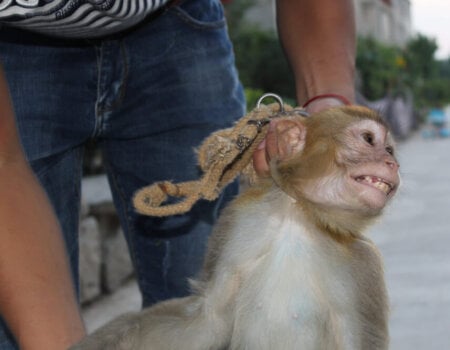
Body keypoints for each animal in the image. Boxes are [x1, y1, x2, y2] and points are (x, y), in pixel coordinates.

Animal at [72, 106, 400, 350]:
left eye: (389, 149)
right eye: (369, 139)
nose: (392, 163)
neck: (298, 217)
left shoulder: (362, 266)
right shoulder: (240, 220)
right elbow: (208, 319)